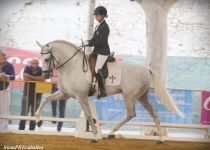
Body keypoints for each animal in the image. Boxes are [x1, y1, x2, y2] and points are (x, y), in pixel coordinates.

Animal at [35, 40, 183, 144]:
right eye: (41, 59)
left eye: (47, 59)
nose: (45, 75)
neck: (72, 66)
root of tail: (147, 69)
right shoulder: (65, 94)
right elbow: (45, 99)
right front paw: (38, 121)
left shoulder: (81, 96)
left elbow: (89, 115)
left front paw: (94, 136)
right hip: (142, 97)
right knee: (153, 113)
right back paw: (160, 139)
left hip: (129, 96)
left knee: (131, 114)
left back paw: (112, 132)